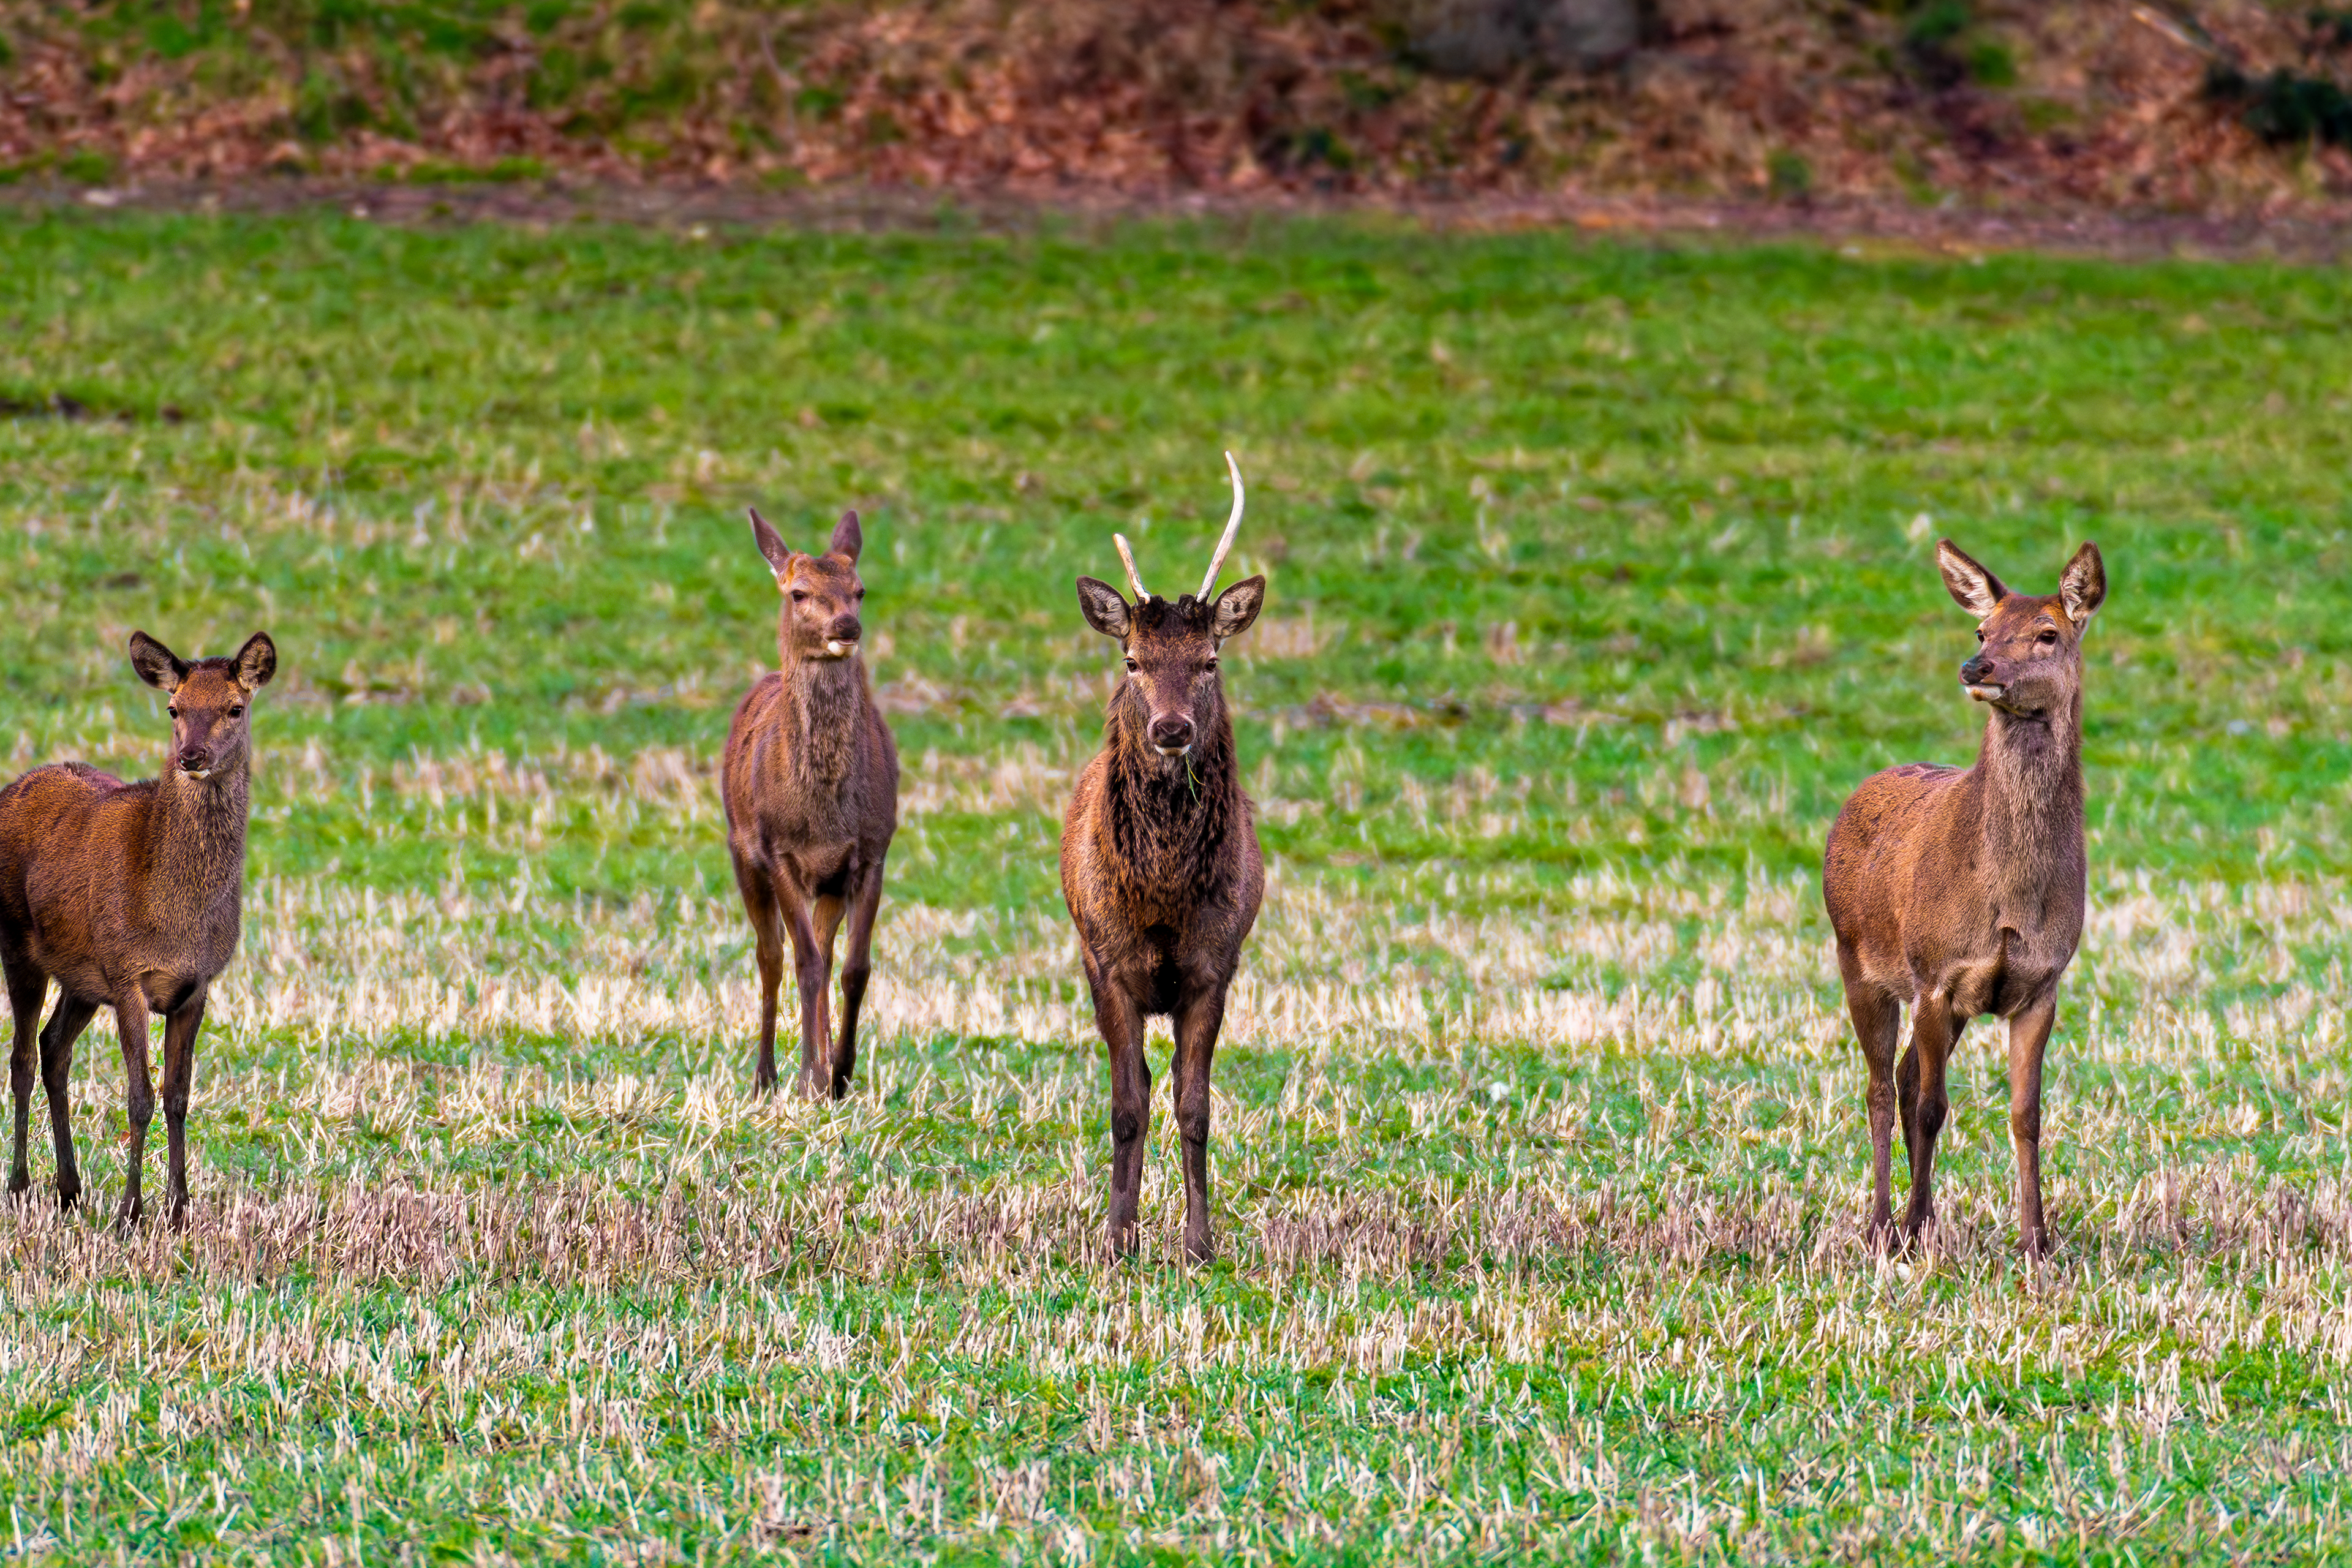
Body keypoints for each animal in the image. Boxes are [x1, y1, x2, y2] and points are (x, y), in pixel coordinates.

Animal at [0, 629, 277, 1229]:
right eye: (174, 708)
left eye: (235, 707)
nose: (191, 756)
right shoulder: (129, 975)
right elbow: (139, 1098)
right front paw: (131, 1212)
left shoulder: (197, 985)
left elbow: (178, 1096)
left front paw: (179, 1208)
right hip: (19, 943)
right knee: (22, 1058)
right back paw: (20, 1186)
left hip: (82, 976)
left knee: (53, 1048)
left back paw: (70, 1189)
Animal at [723, 506, 899, 1099]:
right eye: (799, 593)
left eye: (860, 590)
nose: (846, 625)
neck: (823, 816)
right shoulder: (779, 850)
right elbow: (802, 963)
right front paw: (807, 1078)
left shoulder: (871, 850)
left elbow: (854, 967)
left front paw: (839, 1073)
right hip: (741, 850)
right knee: (771, 957)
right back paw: (766, 1075)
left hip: (828, 884)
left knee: (824, 948)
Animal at [1062, 453, 1267, 1264]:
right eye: (1133, 659)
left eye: (1209, 659)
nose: (1172, 729)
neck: (1163, 896)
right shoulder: (1109, 962)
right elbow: (1127, 1103)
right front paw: (1119, 1239)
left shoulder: (1213, 966)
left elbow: (1194, 1106)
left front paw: (1200, 1244)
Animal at [1823, 539, 2106, 1261]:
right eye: (1983, 629)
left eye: (2048, 633)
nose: (1976, 666)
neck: (2009, 900)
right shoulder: (1935, 975)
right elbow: (1931, 1106)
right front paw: (1915, 1229)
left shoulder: (2042, 984)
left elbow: (2026, 1113)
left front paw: (2036, 1239)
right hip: (1857, 960)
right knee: (1879, 1086)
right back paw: (1881, 1223)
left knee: (1898, 1078)